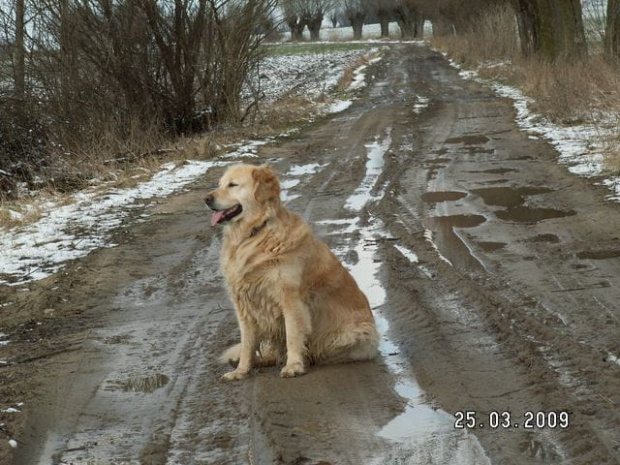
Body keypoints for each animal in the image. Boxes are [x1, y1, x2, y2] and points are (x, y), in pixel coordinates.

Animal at [206, 165, 378, 378]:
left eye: (233, 185)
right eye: (220, 184)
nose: (206, 199)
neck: (253, 235)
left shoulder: (291, 300)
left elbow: (292, 336)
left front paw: (294, 365)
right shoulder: (244, 304)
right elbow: (247, 343)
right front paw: (241, 371)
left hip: (354, 336)